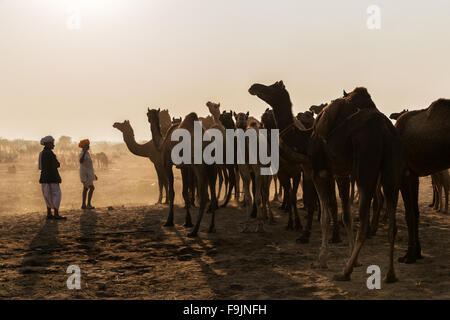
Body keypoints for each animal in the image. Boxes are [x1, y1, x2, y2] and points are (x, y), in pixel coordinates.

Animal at [250, 82, 404, 282]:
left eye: (272, 87)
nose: (254, 87)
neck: (305, 139)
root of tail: (385, 129)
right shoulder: (341, 173)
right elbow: (345, 215)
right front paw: (353, 259)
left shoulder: (319, 172)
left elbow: (325, 217)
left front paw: (321, 260)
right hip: (390, 170)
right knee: (392, 224)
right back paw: (390, 274)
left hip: (365, 170)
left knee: (363, 221)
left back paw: (345, 272)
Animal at [390, 100, 450, 262]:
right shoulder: (413, 174)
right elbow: (415, 212)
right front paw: (417, 252)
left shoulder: (404, 173)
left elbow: (409, 214)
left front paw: (409, 255)